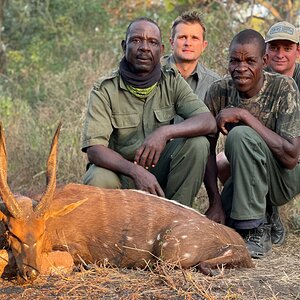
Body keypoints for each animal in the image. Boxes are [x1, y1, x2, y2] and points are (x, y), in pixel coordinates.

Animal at [0, 123, 253, 282]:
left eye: (42, 232)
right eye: (12, 233)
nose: (31, 273)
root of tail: (237, 242)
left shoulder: (73, 251)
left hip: (169, 249)